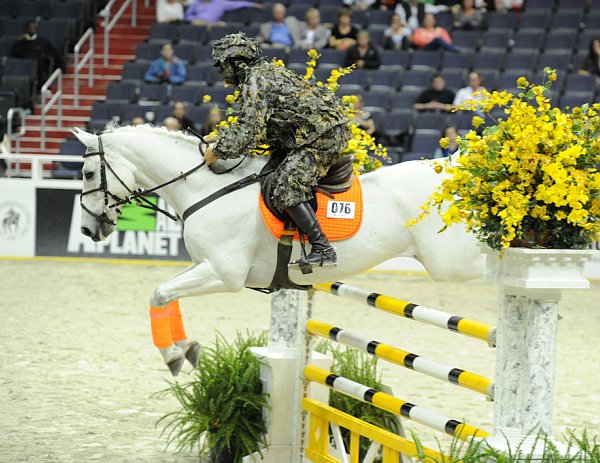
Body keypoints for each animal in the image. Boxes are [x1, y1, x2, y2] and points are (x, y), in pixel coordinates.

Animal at [71, 126, 482, 376]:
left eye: (89, 174)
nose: (88, 229)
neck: (209, 189)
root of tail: (450, 169)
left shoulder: (223, 273)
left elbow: (159, 294)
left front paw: (173, 355)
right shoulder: (203, 266)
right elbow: (162, 294)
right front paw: (184, 350)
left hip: (453, 261)